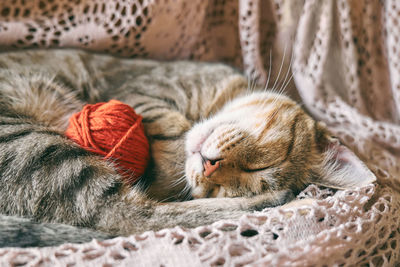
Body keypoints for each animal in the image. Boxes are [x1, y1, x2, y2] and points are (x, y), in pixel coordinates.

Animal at [0, 48, 376, 247]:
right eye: (261, 164)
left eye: (245, 175)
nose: (210, 167)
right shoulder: (144, 93)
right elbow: (171, 139)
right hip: (32, 142)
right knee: (127, 219)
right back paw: (287, 203)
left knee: (128, 219)